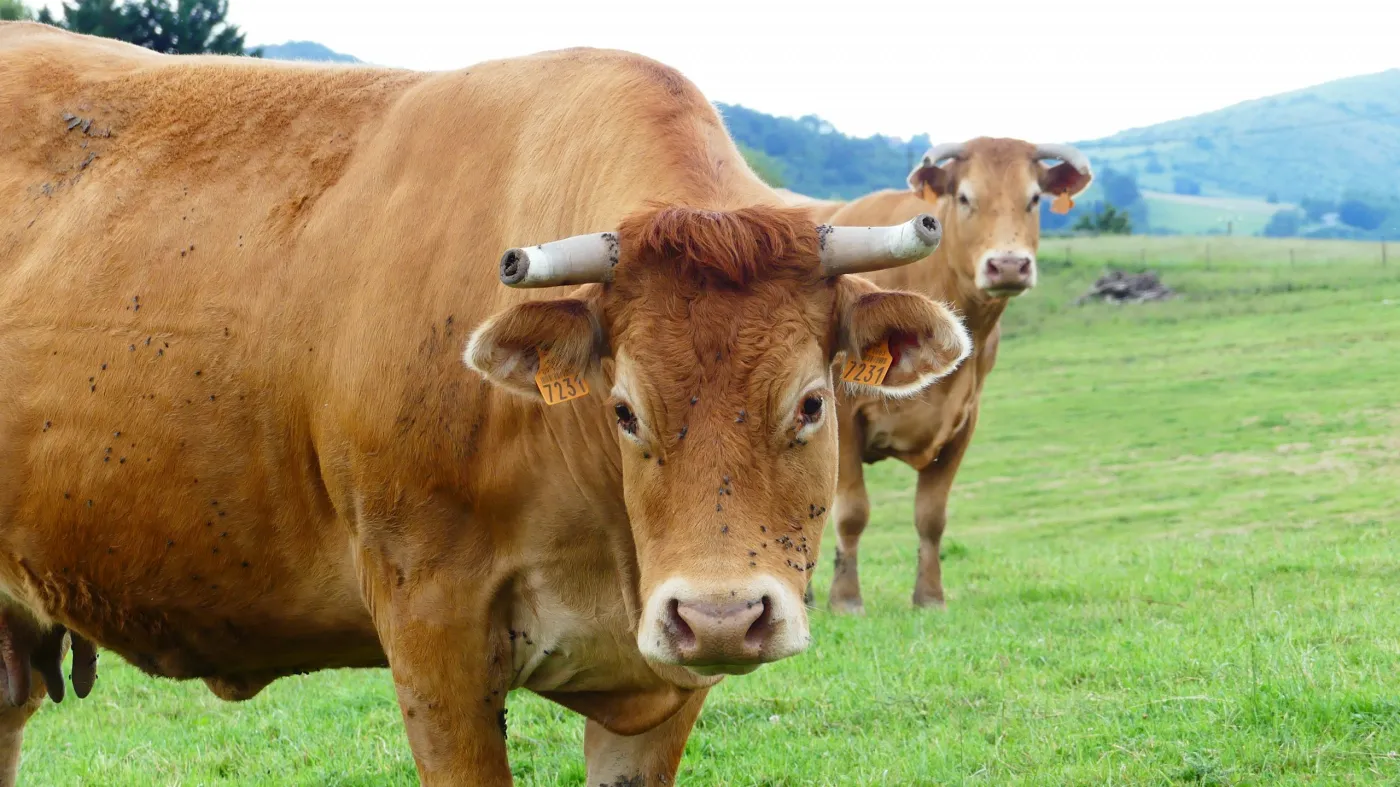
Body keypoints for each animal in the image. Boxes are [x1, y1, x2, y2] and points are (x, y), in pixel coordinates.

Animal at [785, 138, 1092, 613]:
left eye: (1034, 199)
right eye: (964, 197)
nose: (1008, 265)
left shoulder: (962, 422)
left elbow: (931, 516)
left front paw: (929, 596)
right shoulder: (844, 418)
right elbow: (852, 512)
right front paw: (847, 598)